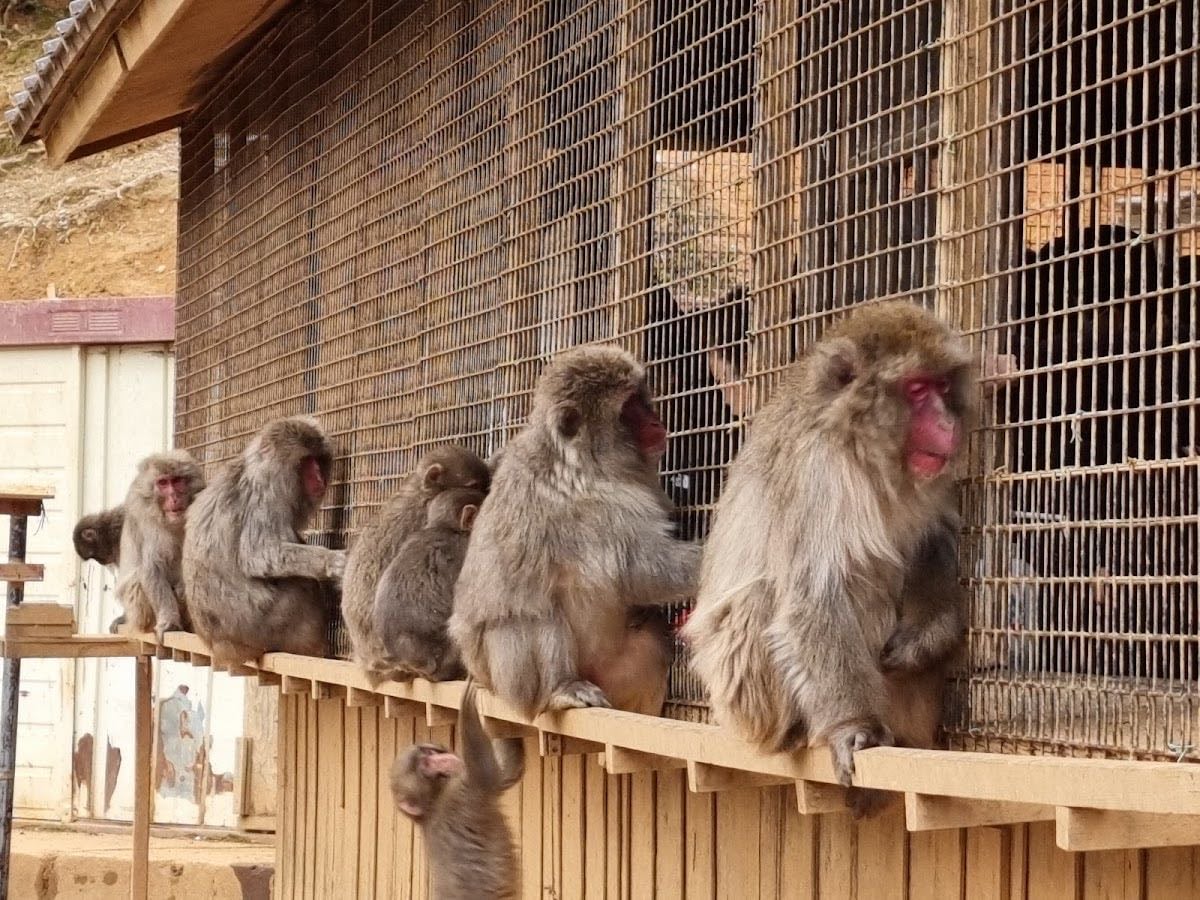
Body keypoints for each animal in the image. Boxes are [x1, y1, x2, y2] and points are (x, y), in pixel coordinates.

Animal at [114, 452, 206, 640]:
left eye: (177, 481)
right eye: (163, 483)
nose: (173, 497)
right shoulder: (145, 519)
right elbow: (152, 567)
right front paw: (169, 622)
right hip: (139, 617)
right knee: (137, 580)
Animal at [182, 416, 345, 666]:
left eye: (318, 460)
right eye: (307, 462)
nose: (319, 478)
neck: (256, 467)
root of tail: (222, 645)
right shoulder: (267, 495)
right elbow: (258, 554)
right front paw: (331, 562)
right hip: (265, 625)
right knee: (300, 584)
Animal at [391, 681, 524, 900]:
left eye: (429, 753)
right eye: (426, 764)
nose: (445, 760)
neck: (433, 803)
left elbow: (507, 773)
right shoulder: (461, 794)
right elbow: (491, 775)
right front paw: (467, 706)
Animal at [449, 345, 700, 720]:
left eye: (642, 399)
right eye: (629, 408)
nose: (656, 423)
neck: (583, 460)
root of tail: (481, 678)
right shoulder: (598, 506)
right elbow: (642, 572)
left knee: (652, 638)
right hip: (508, 681)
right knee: (530, 611)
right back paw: (560, 689)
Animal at [682, 301, 975, 817]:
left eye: (943, 386)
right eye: (917, 390)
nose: (948, 423)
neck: (859, 449)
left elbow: (930, 539)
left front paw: (928, 636)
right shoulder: (815, 473)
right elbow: (814, 599)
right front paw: (852, 726)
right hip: (745, 693)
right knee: (772, 600)